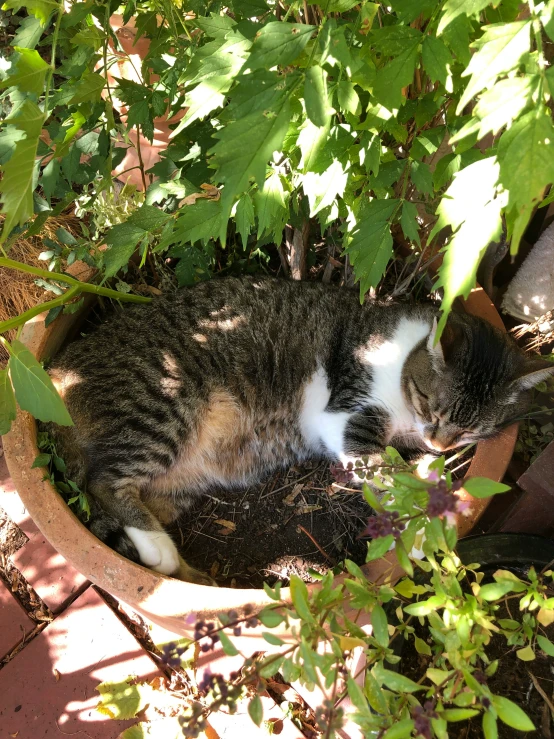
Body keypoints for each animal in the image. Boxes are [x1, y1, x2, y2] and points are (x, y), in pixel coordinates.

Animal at [44, 276, 552, 584]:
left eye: (471, 433)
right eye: (433, 405)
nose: (439, 441)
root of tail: (57, 369)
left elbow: (406, 465)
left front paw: (433, 473)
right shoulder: (348, 415)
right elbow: (385, 471)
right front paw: (426, 512)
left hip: (175, 484)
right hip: (161, 407)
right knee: (103, 483)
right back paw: (160, 553)